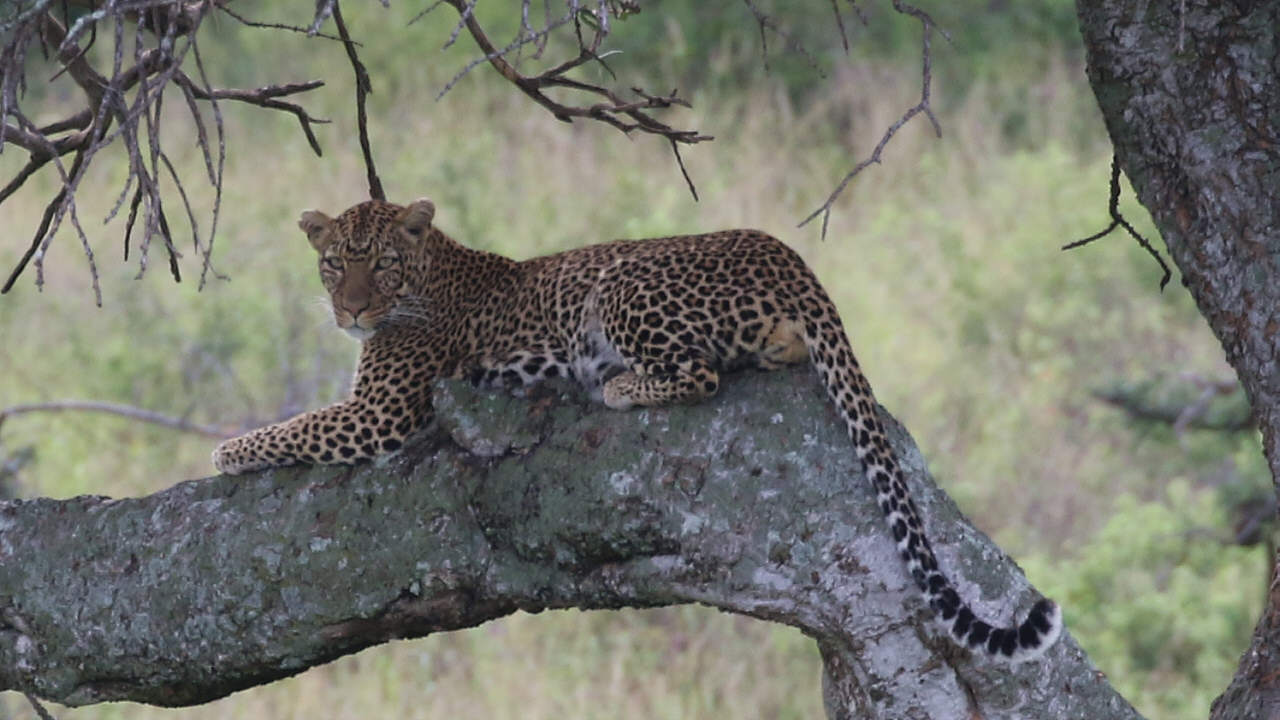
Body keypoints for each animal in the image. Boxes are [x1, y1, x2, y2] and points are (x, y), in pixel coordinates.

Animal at [212, 197, 1059, 661]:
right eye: (333, 263)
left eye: (384, 263)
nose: (350, 309)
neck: (431, 271)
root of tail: (785, 253)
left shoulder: (380, 412)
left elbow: (296, 427)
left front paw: (224, 451)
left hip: (619, 283)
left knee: (700, 372)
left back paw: (617, 386)